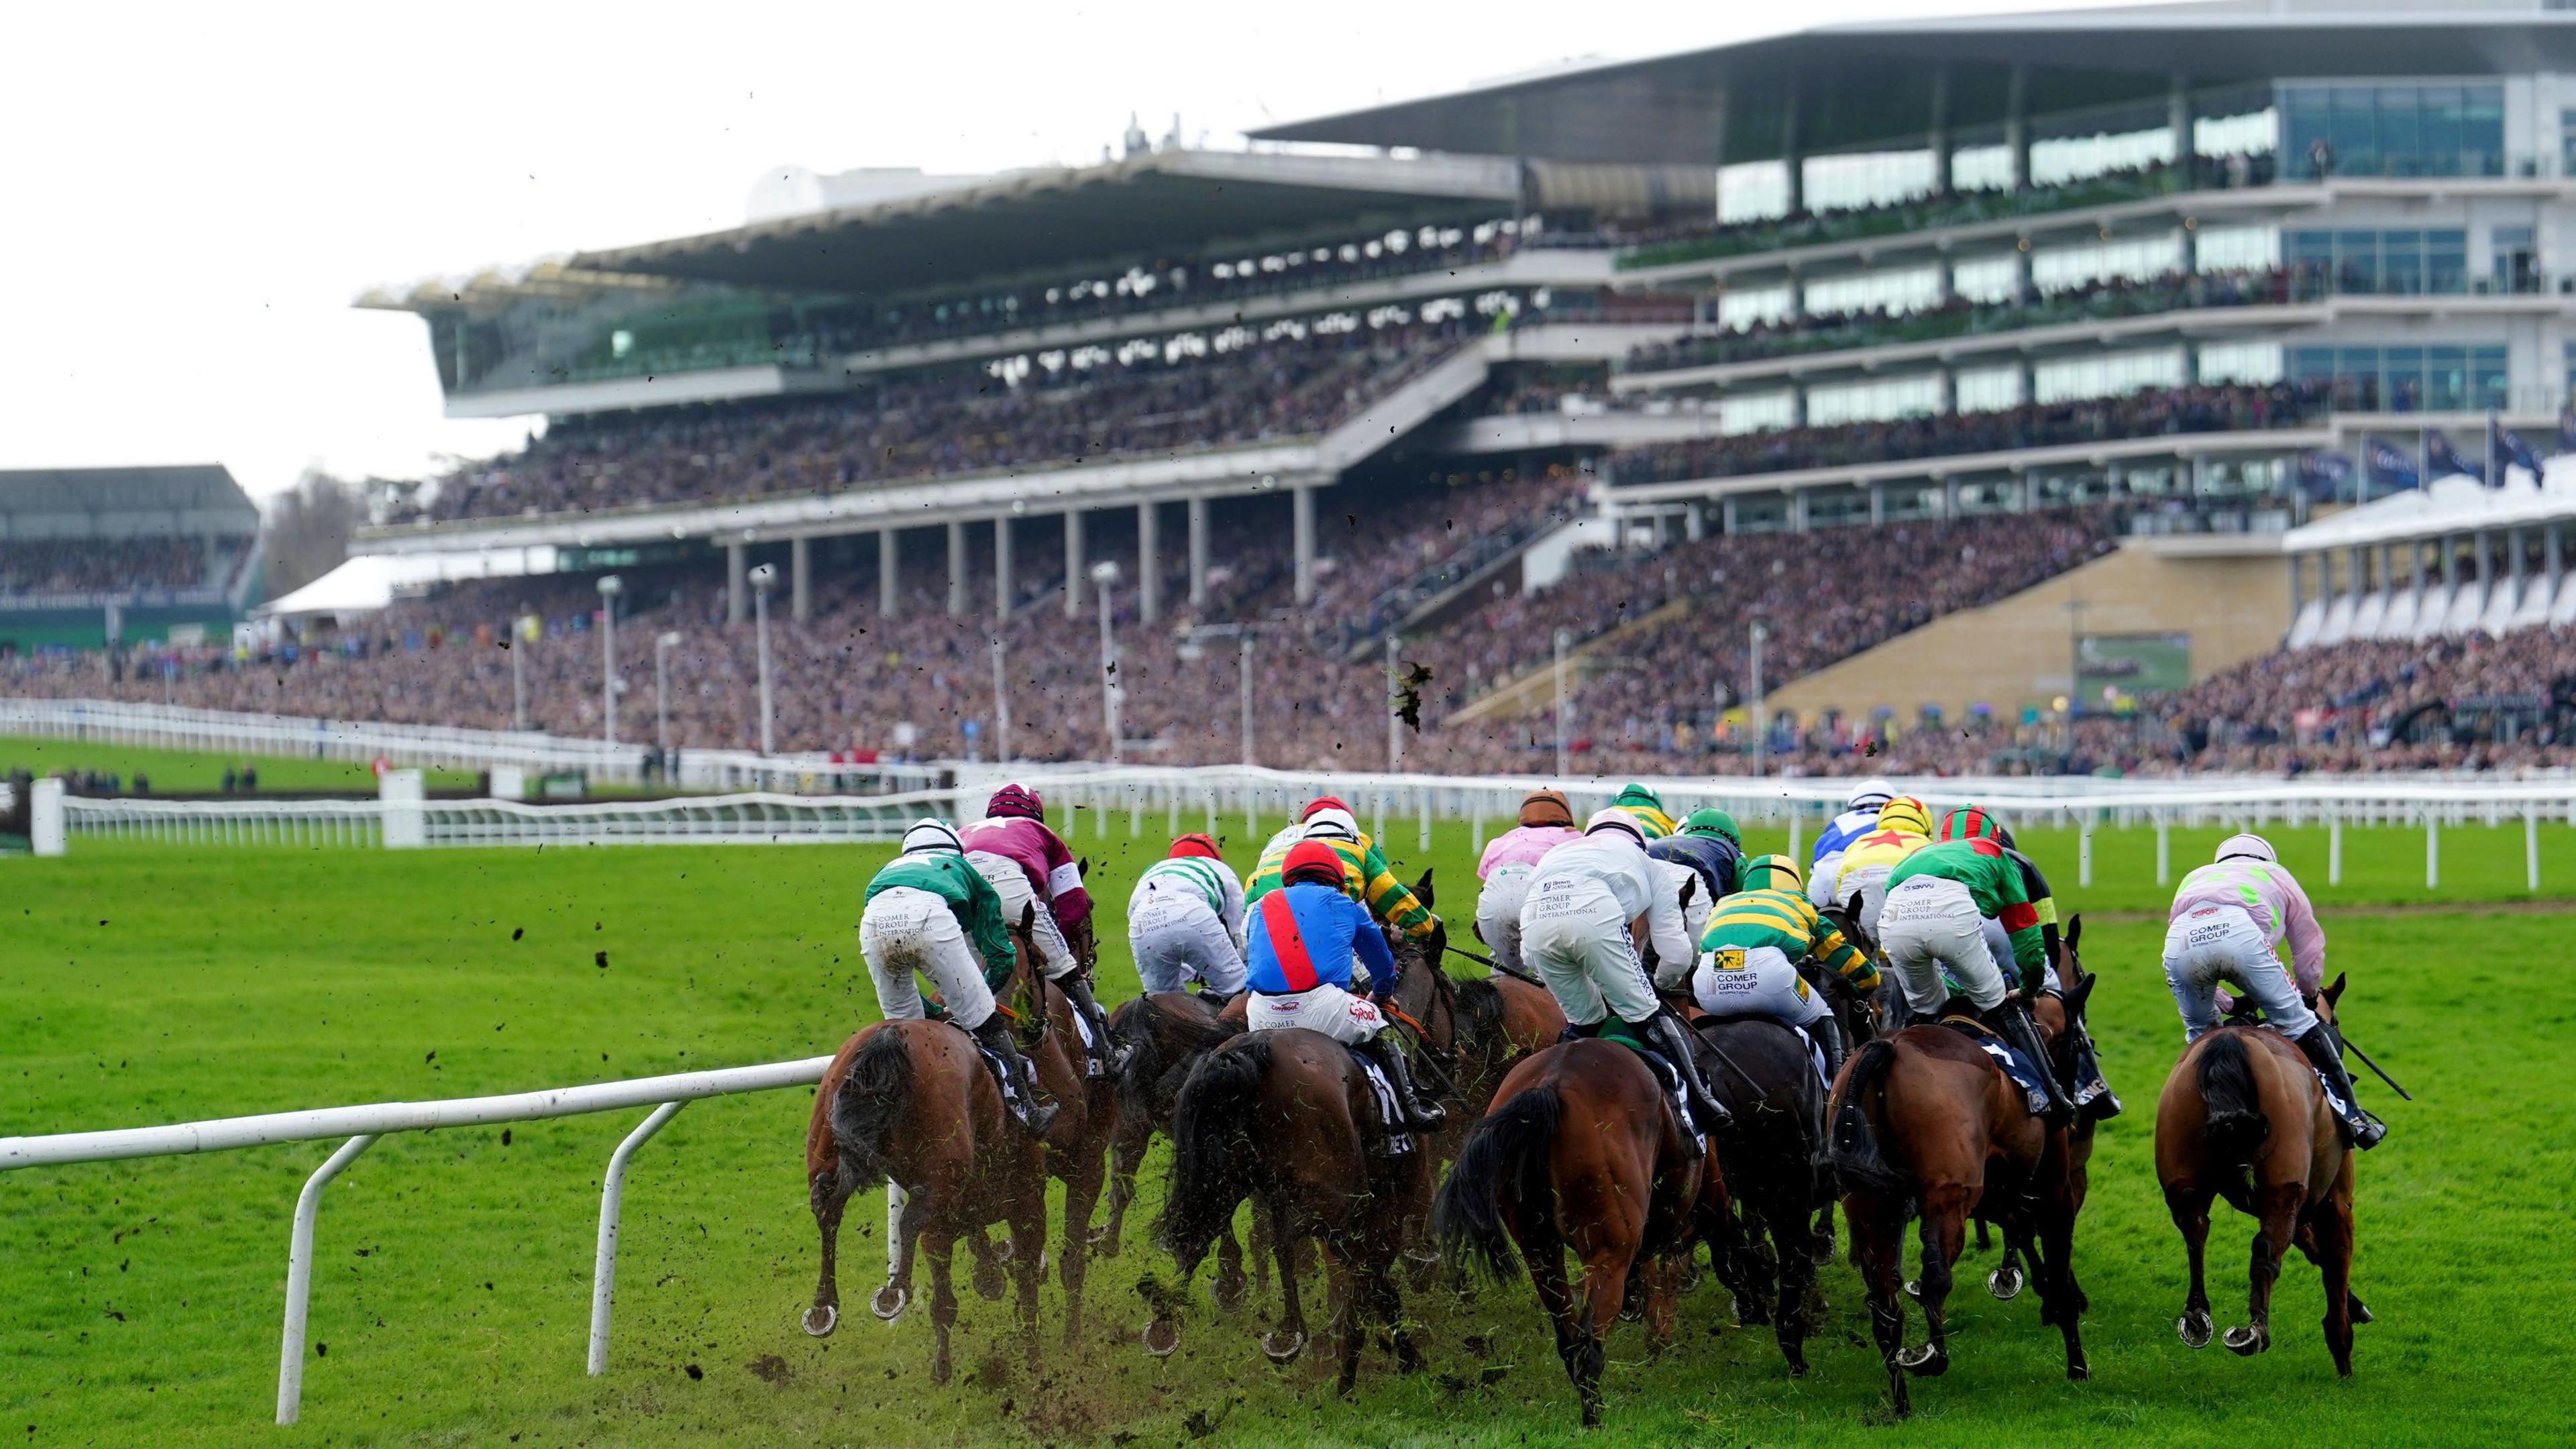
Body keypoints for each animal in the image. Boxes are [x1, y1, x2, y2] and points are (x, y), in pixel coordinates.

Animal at [798, 902, 1051, 1371]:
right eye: (1042, 962)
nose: (1040, 1027)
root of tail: (890, 1038)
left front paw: (987, 1274)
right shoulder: (1027, 1192)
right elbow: (1023, 1275)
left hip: (826, 1143)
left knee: (827, 1206)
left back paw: (825, 1306)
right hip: (942, 1169)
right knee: (911, 1217)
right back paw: (894, 1291)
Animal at [1148, 1020, 1432, 1382]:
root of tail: (1245, 1053)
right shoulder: (1384, 1206)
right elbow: (1375, 1277)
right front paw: (1402, 1357)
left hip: (1219, 1178)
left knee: (1198, 1236)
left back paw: (1166, 1322)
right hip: (1337, 1199)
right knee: (1283, 1239)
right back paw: (1290, 1329)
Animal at [1432, 1036, 1710, 1423]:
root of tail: (1551, 1086)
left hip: (1538, 1249)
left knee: (1568, 1340)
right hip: (1608, 1247)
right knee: (1590, 1342)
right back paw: (1595, 1419)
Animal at [2143, 969, 2359, 1361]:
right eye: (2335, 1022)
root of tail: (2228, 1046)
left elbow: (2312, 1246)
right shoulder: (2334, 1196)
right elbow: (2335, 1264)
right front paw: (2345, 1340)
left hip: (2183, 1176)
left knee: (2195, 1230)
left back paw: (2197, 1316)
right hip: (2284, 1183)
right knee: (2266, 1249)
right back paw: (2254, 1331)